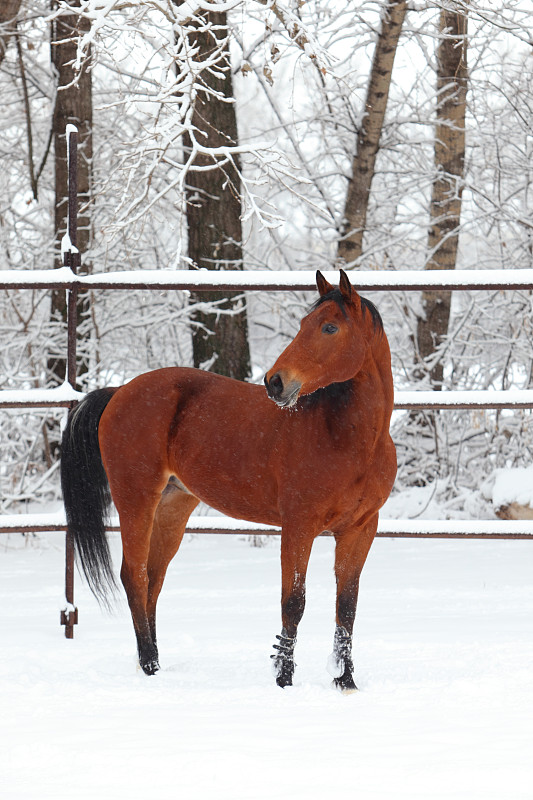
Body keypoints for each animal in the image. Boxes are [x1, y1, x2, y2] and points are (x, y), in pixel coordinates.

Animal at [62, 270, 394, 692]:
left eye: (330, 327)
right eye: (305, 324)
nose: (275, 382)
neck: (351, 438)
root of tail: (119, 391)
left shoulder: (360, 530)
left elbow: (346, 607)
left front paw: (345, 680)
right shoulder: (299, 526)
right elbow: (294, 602)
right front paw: (284, 678)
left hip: (173, 507)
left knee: (153, 578)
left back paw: (153, 662)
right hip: (135, 500)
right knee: (134, 576)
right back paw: (150, 665)